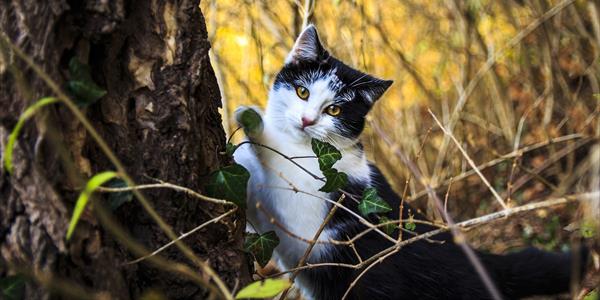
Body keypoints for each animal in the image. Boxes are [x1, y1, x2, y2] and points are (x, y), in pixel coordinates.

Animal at [232, 24, 588, 298]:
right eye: (302, 92)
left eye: (334, 109)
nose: (307, 121)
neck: (305, 146)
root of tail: (484, 262)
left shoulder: (311, 212)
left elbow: (275, 163)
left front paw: (249, 120)